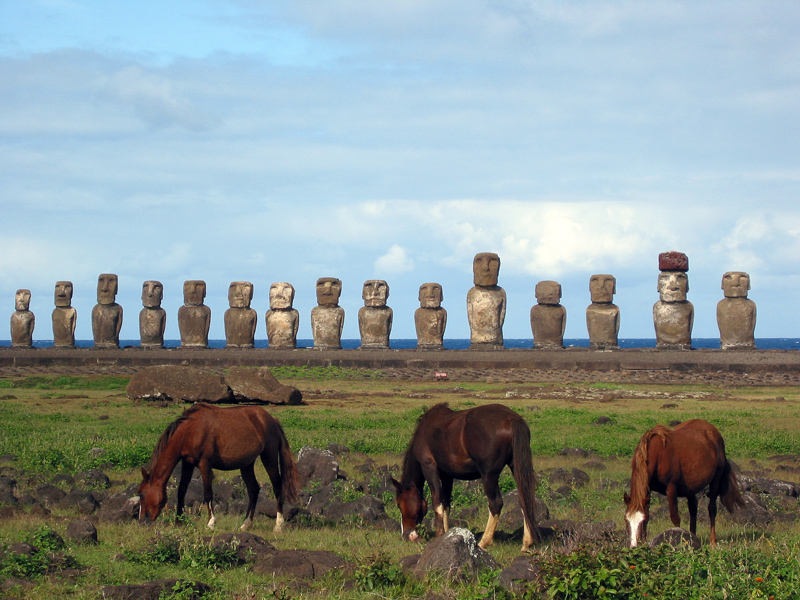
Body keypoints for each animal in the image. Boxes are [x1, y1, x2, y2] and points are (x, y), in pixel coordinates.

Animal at [139, 400, 298, 532]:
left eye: (141, 494)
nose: (142, 521)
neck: (190, 431)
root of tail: (272, 420)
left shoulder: (204, 464)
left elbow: (208, 493)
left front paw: (211, 522)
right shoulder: (187, 463)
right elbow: (181, 490)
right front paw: (179, 521)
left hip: (269, 457)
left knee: (277, 486)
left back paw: (278, 525)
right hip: (247, 464)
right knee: (253, 489)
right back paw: (245, 524)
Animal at [390, 404, 540, 552]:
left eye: (399, 504)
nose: (406, 535)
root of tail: (511, 418)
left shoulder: (429, 467)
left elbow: (437, 502)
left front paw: (438, 535)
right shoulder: (447, 475)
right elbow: (446, 503)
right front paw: (446, 534)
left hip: (488, 475)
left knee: (495, 503)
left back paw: (483, 542)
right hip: (516, 467)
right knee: (524, 498)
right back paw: (526, 542)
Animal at [624, 420, 744, 548]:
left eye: (641, 521)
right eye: (626, 520)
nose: (633, 546)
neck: (657, 454)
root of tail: (713, 431)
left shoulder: (671, 489)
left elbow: (675, 518)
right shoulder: (648, 488)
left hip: (715, 480)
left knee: (712, 508)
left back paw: (713, 542)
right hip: (690, 488)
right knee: (693, 508)